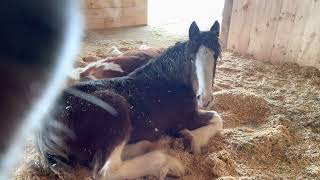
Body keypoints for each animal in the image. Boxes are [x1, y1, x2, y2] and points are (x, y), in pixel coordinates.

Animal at [37, 20, 222, 179]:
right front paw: (192, 140)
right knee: (107, 171)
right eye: (191, 57)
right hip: (117, 111)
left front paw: (186, 138)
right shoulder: (188, 118)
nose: (205, 98)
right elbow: (218, 119)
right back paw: (169, 163)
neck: (169, 82)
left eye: (216, 57)